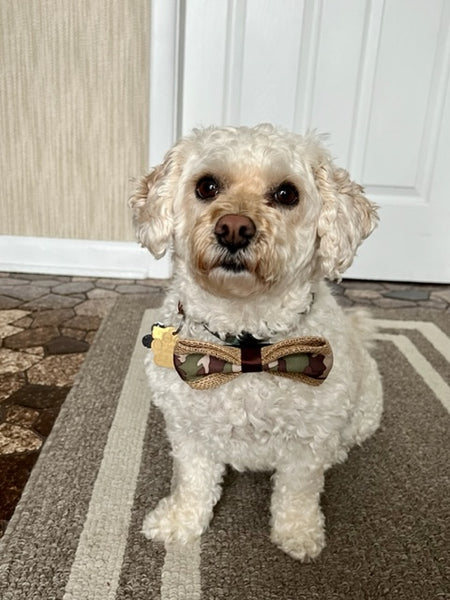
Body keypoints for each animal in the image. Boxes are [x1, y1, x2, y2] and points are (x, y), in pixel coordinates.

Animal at [130, 124, 384, 560]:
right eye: (206, 186)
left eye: (286, 194)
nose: (233, 227)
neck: (246, 346)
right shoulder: (189, 432)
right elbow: (192, 483)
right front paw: (179, 522)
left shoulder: (307, 443)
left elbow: (298, 492)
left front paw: (298, 533)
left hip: (365, 406)